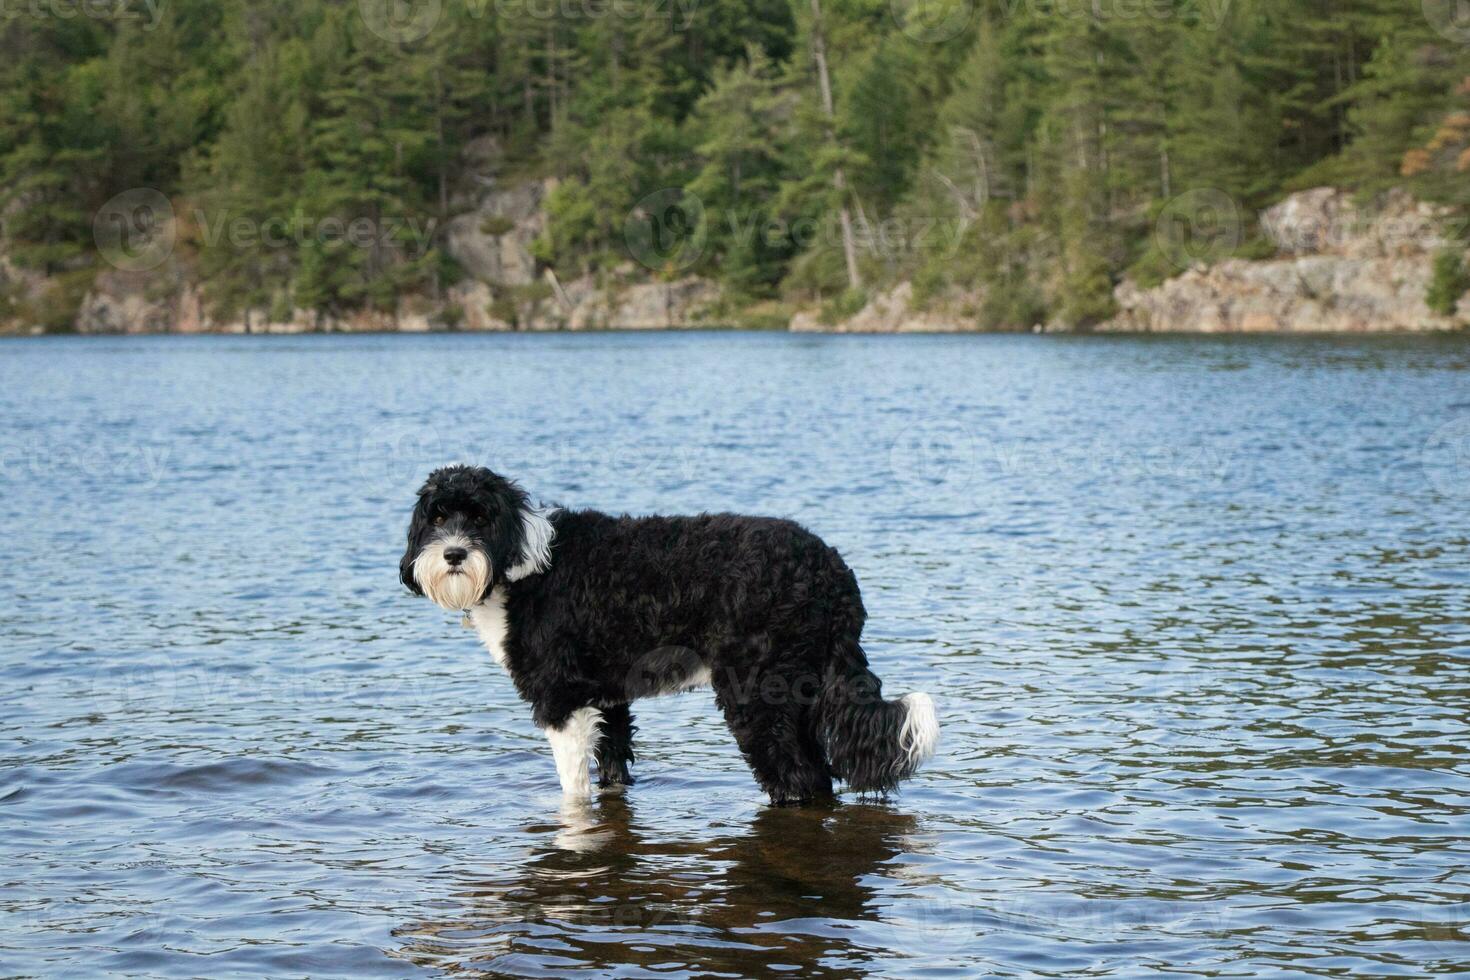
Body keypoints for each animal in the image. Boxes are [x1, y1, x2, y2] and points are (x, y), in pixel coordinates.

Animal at [396, 467, 934, 805]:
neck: (523, 562)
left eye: (480, 516)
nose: (454, 554)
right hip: (797, 694)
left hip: (757, 697)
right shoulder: (607, 700)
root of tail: (832, 572)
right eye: (437, 517)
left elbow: (573, 789)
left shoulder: (561, 700)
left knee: (800, 781)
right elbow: (613, 769)